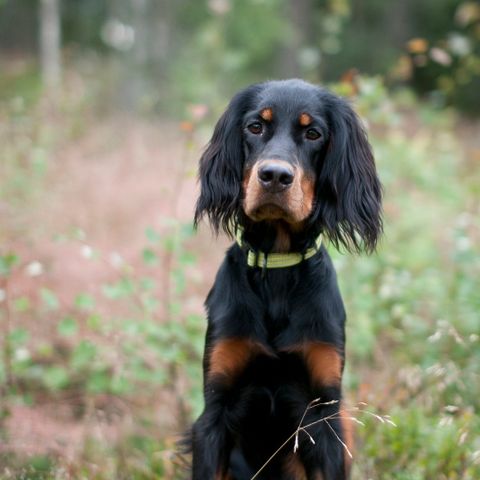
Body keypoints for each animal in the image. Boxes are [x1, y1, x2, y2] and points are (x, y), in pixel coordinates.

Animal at [189, 79, 380, 480]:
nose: (275, 176)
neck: (277, 267)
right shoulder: (215, 411)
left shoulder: (324, 416)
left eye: (313, 133)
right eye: (255, 126)